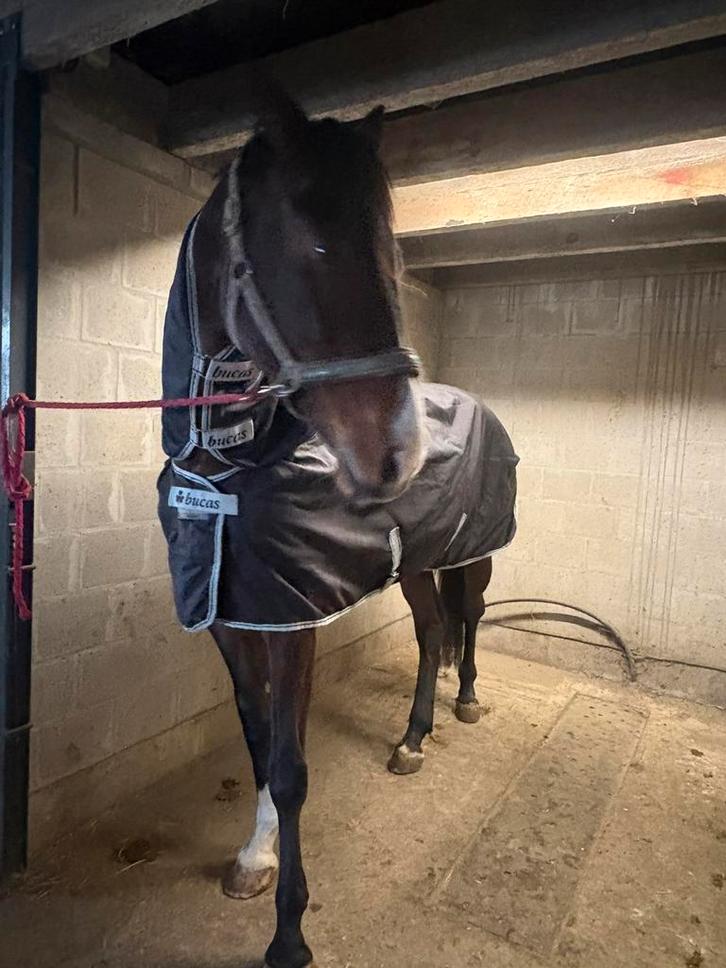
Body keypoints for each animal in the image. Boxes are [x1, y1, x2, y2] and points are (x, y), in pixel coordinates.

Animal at [157, 90, 517, 968]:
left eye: (388, 248)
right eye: (312, 241)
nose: (398, 452)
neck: (229, 475)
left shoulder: (295, 622)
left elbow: (292, 769)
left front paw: (289, 933)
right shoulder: (235, 619)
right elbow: (257, 739)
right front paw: (254, 857)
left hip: (475, 555)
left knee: (468, 621)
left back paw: (463, 704)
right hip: (417, 565)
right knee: (431, 630)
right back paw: (412, 738)